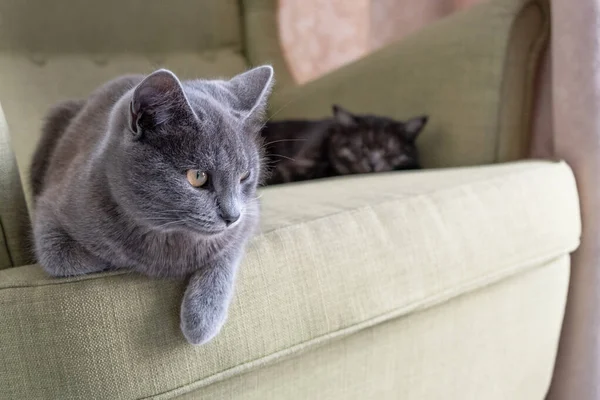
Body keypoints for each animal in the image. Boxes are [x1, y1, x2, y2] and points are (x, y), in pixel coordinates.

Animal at [29, 65, 274, 344]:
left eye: (244, 177)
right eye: (198, 177)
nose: (232, 216)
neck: (169, 235)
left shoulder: (250, 213)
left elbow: (228, 252)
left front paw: (202, 319)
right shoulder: (49, 211)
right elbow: (64, 258)